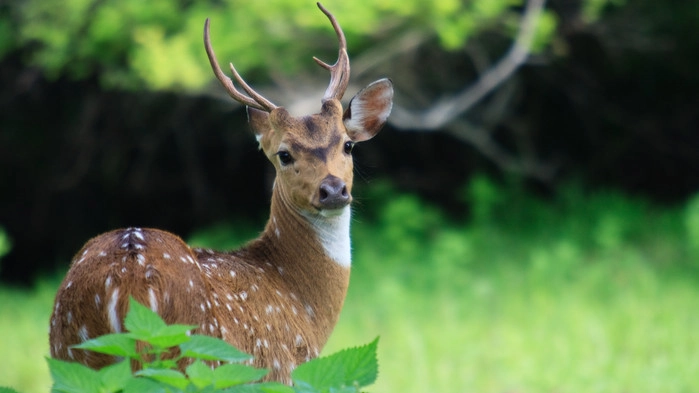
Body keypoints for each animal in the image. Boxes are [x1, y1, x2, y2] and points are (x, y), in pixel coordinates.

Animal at [47, 2, 394, 382]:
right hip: (188, 361)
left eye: (348, 145)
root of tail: (125, 286)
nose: (333, 190)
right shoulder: (284, 372)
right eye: (284, 154)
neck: (304, 306)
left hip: (69, 355)